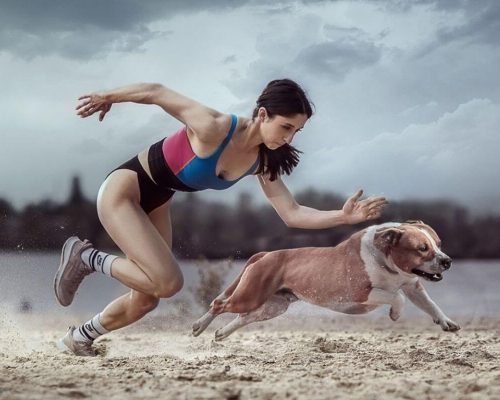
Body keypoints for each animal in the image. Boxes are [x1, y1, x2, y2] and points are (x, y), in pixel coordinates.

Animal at [191, 220, 460, 340]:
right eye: (422, 248)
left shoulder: (414, 286)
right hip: (250, 294)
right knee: (219, 304)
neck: (386, 258)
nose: (447, 260)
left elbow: (430, 304)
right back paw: (199, 326)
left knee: (243, 317)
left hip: (272, 306)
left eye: (438, 243)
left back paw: (221, 333)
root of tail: (266, 254)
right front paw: (395, 314)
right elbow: (396, 296)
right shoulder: (361, 292)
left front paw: (447, 322)